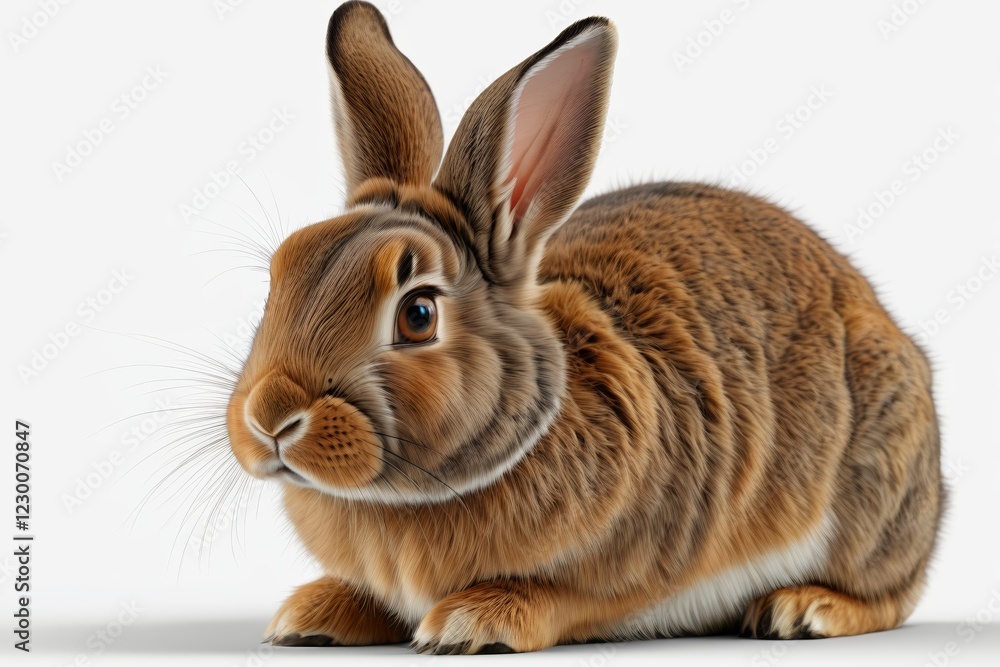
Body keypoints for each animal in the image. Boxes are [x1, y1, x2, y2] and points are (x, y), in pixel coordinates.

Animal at [225, 0, 943, 654]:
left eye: (418, 314)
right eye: (280, 274)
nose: (269, 417)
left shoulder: (647, 558)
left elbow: (570, 598)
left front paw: (473, 621)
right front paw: (314, 613)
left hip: (876, 488)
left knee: (892, 592)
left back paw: (804, 608)